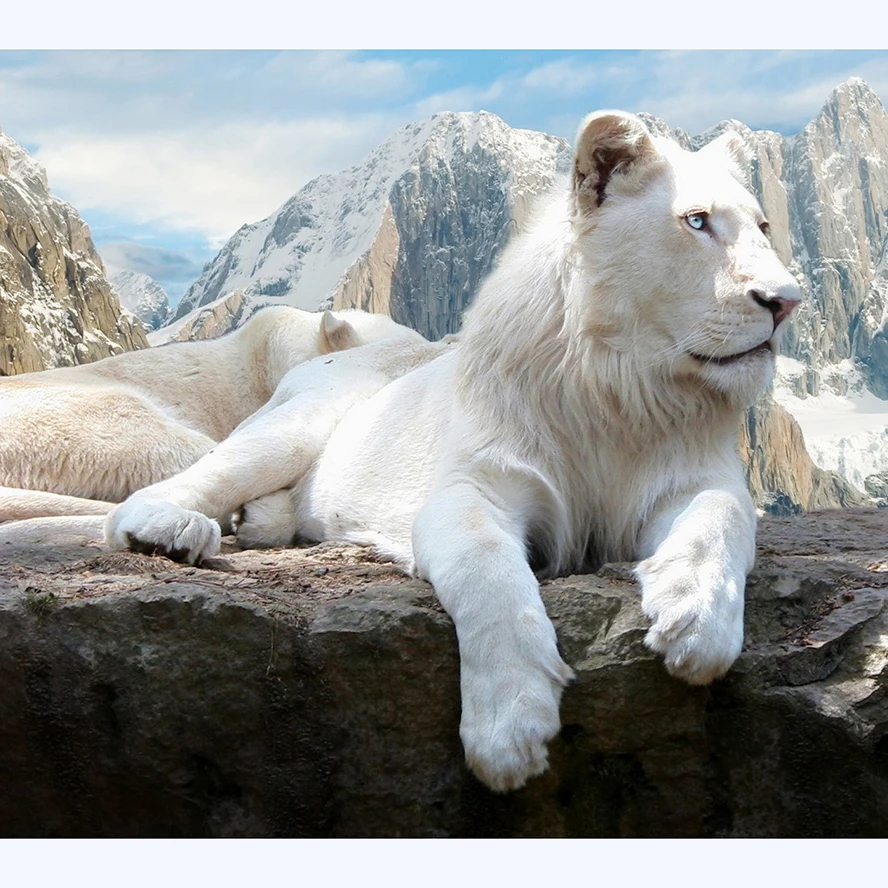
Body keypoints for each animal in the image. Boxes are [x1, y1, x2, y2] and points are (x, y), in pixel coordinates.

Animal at [103, 110, 801, 792]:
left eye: (765, 226)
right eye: (696, 221)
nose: (786, 302)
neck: (622, 385)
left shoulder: (695, 479)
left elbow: (721, 519)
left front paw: (697, 620)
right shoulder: (474, 487)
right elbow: (487, 571)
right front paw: (510, 727)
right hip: (296, 425)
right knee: (169, 490)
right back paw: (172, 530)